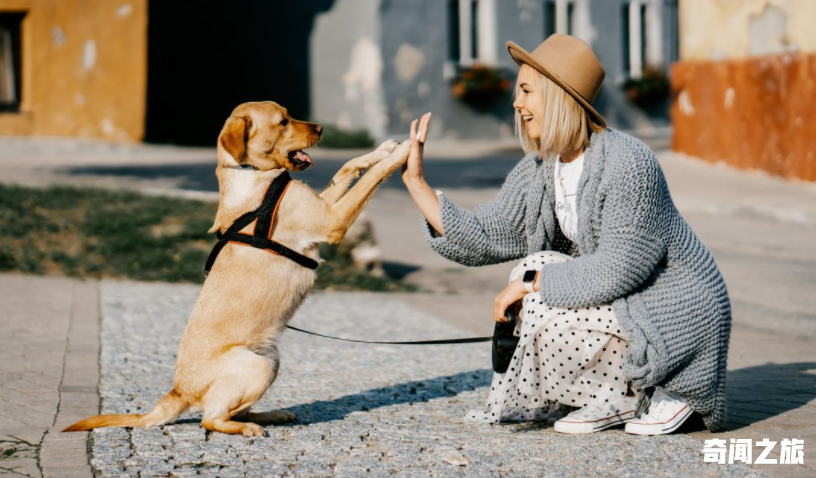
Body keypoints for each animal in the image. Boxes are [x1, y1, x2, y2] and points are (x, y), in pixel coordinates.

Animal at [64, 101, 412, 436]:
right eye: (283, 121)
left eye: (289, 115)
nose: (321, 128)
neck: (254, 175)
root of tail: (178, 391)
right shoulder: (332, 220)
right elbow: (370, 179)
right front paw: (403, 152)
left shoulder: (324, 205)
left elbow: (348, 167)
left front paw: (383, 149)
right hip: (257, 367)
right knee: (210, 419)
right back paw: (247, 428)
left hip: (271, 360)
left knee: (232, 410)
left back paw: (271, 415)